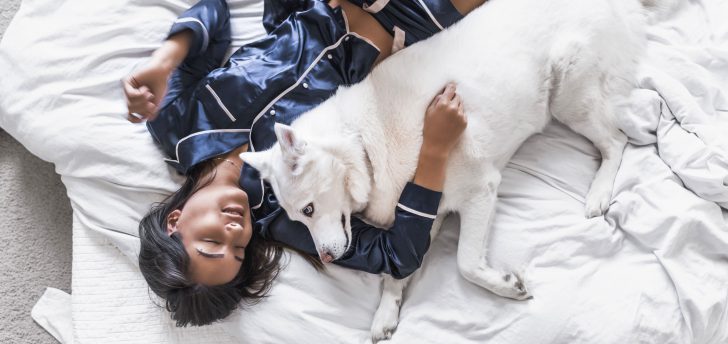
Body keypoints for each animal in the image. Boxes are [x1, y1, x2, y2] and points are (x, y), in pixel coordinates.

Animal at [242, 0, 668, 340]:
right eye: (299, 219)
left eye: (309, 209)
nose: (328, 258)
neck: (364, 145)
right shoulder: (424, 216)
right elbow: (396, 273)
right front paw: (386, 312)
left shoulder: (479, 190)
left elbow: (466, 264)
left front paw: (503, 285)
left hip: (567, 96)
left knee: (616, 141)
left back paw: (599, 192)